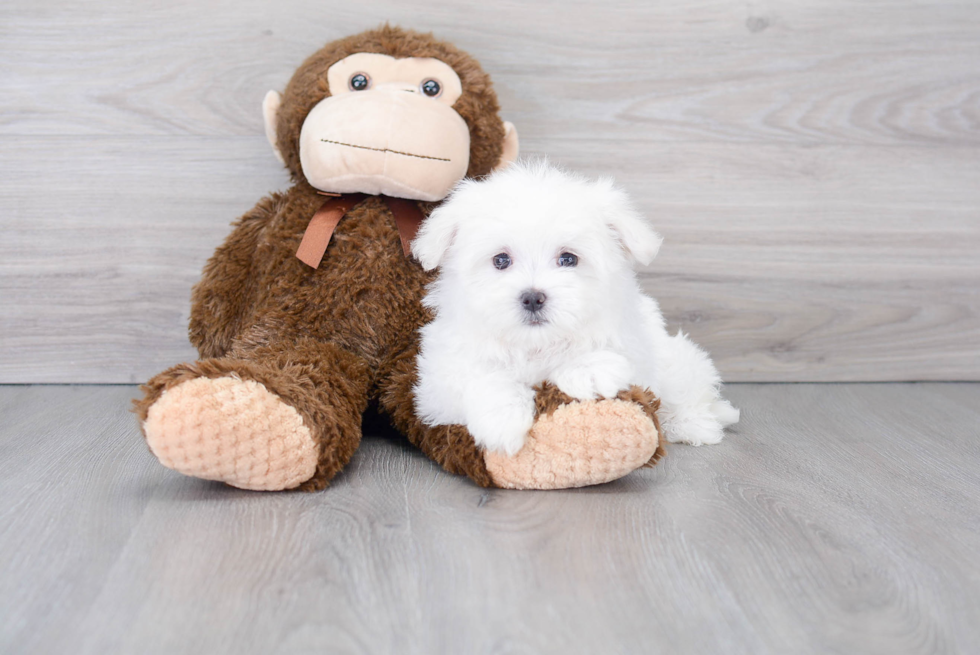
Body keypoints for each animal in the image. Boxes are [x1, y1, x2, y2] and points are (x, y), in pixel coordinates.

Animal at [410, 161, 740, 456]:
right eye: (500, 260)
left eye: (568, 259)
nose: (533, 297)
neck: (536, 345)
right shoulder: (437, 385)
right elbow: (481, 376)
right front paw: (502, 422)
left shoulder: (632, 344)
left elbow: (604, 356)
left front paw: (586, 373)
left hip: (673, 361)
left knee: (687, 390)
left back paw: (694, 426)